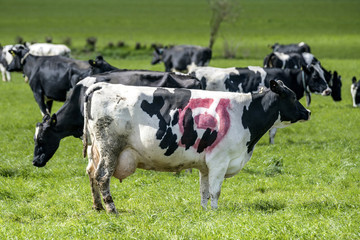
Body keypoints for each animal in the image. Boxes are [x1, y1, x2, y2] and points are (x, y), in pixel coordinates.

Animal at [81, 81, 310, 214]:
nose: (307, 112)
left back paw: (97, 206)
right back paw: (111, 209)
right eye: (292, 97)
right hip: (110, 147)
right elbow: (216, 191)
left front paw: (204, 211)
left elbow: (204, 190)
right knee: (102, 176)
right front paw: (215, 212)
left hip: (96, 149)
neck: (244, 113)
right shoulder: (219, 161)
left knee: (91, 173)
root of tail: (102, 85)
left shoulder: (206, 165)